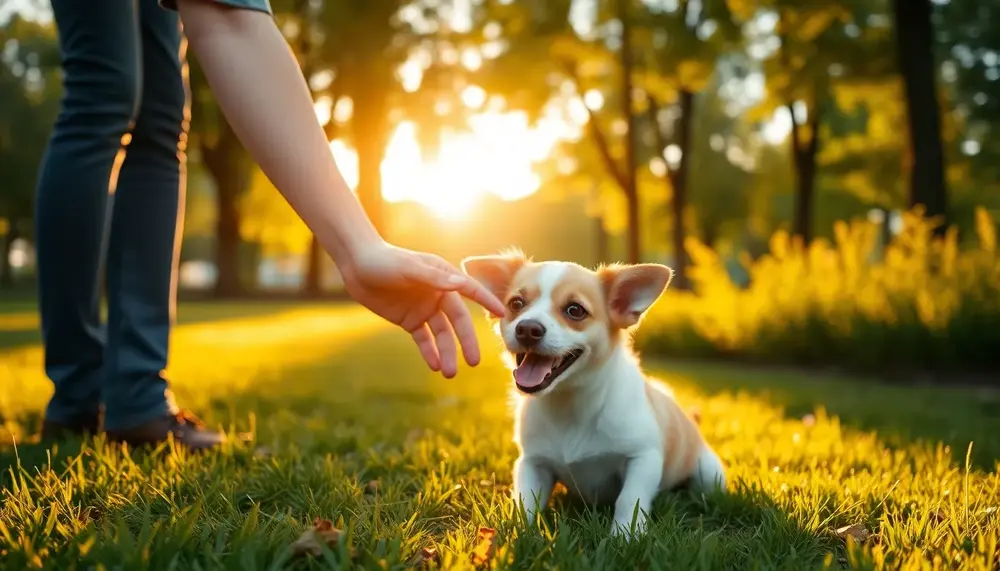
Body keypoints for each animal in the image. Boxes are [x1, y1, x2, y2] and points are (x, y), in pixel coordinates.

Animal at [460, 252, 728, 540]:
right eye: (516, 304)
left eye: (575, 310)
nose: (527, 328)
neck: (569, 402)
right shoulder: (533, 464)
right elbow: (525, 500)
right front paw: (516, 532)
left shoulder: (643, 458)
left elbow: (629, 499)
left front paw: (624, 536)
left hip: (708, 475)